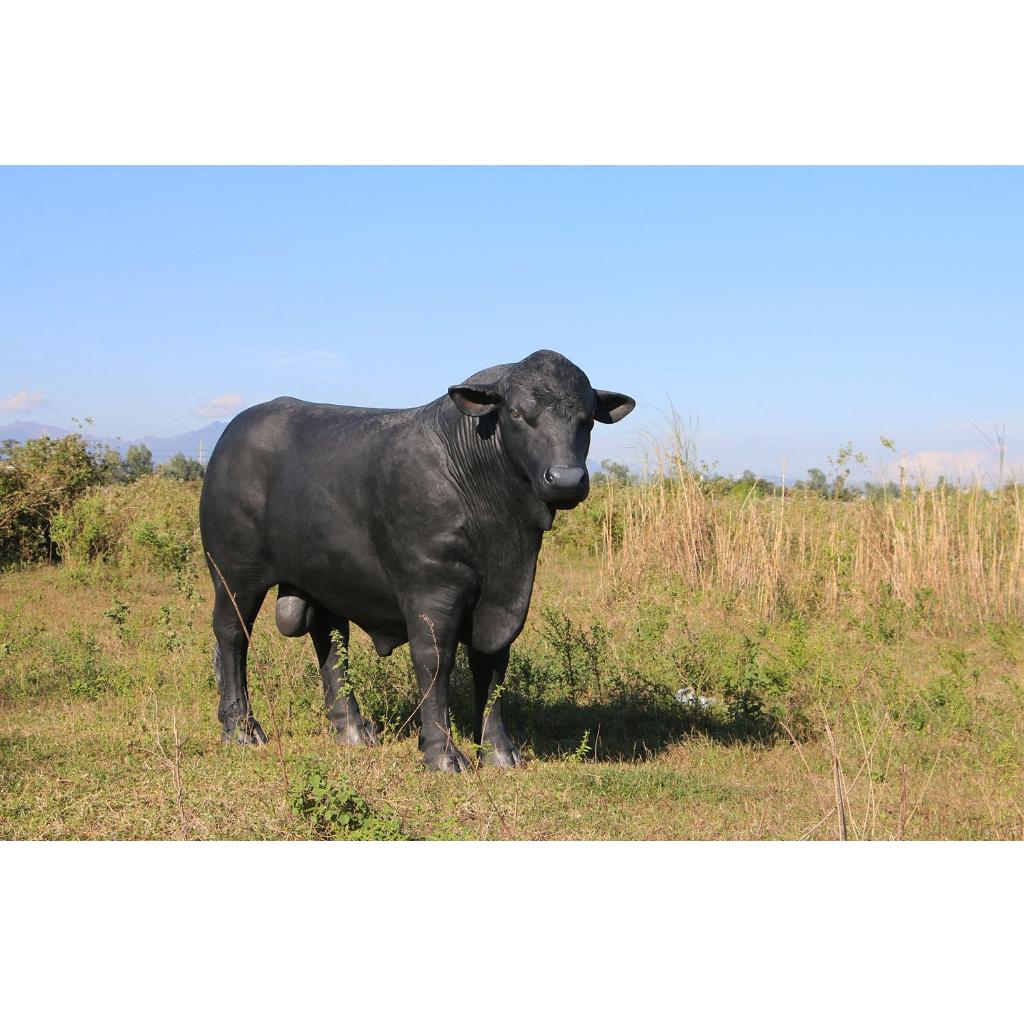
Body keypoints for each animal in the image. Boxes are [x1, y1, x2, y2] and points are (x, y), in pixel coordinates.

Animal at [199, 349, 634, 772]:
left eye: (586, 420)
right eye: (515, 413)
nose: (566, 479)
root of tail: (236, 429)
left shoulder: (502, 600)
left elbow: (492, 666)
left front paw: (499, 751)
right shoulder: (433, 588)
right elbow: (435, 661)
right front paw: (442, 754)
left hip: (326, 577)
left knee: (333, 642)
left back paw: (353, 731)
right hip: (234, 573)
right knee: (232, 636)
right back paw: (241, 728)